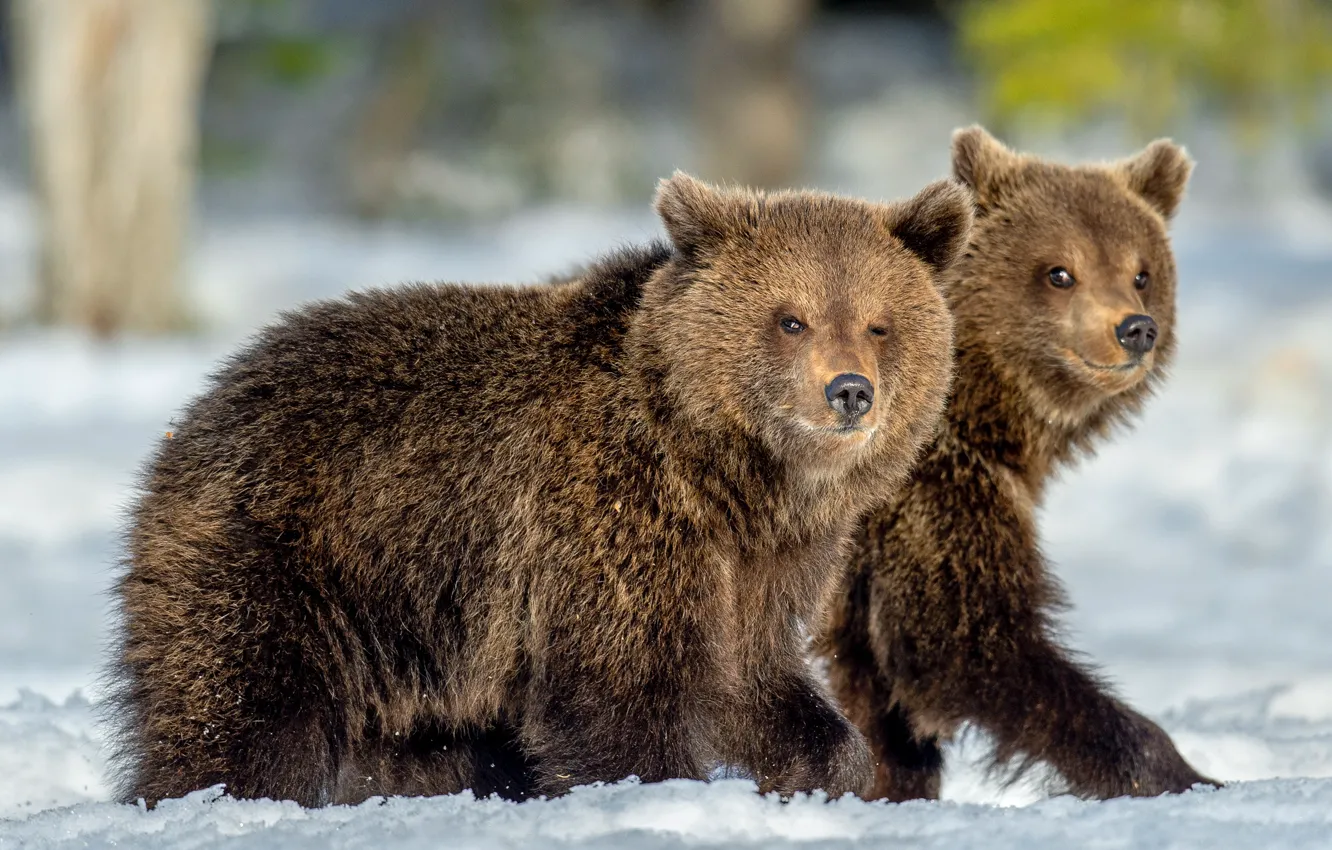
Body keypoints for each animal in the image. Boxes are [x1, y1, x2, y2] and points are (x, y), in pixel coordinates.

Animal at [107, 172, 972, 807]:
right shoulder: (608, 521)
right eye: (791, 319)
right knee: (239, 705)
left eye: (879, 323)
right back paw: (210, 795)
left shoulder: (764, 564)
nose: (850, 392)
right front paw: (654, 786)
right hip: (294, 559)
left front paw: (829, 771)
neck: (728, 473)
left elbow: (752, 676)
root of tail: (200, 405)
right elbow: (615, 693)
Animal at [818, 127, 1219, 801]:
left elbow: (878, 687)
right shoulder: (928, 493)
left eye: (1141, 272)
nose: (1136, 330)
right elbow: (968, 638)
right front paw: (1186, 773)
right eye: (1060, 271)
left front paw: (891, 780)